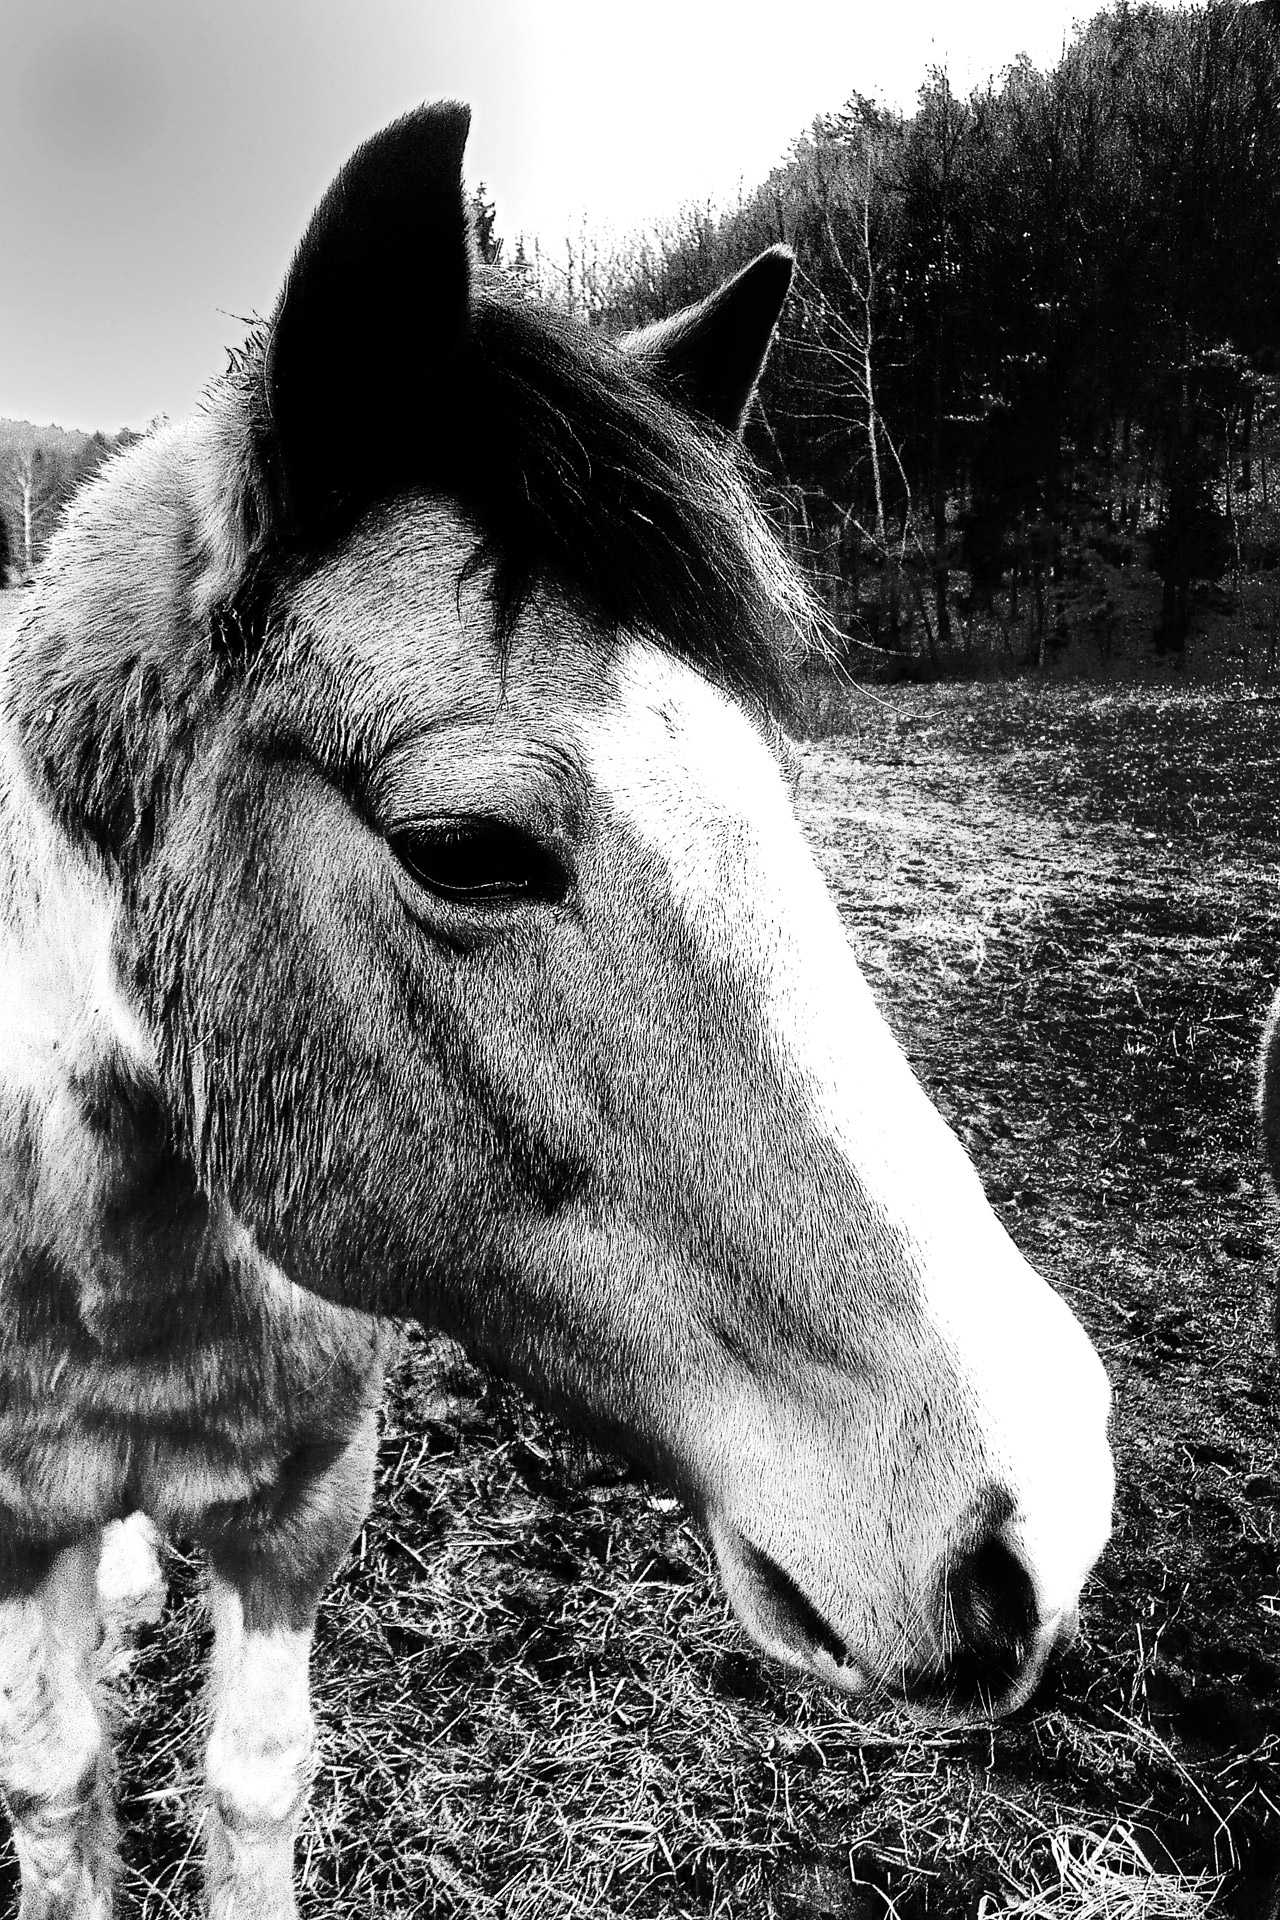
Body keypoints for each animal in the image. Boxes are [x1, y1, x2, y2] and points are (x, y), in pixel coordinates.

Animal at [0, 101, 1113, 1920]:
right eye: (462, 847)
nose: (1047, 1510)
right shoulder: (18, 1521)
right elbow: (56, 1784)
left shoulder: (305, 1503)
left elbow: (252, 1779)